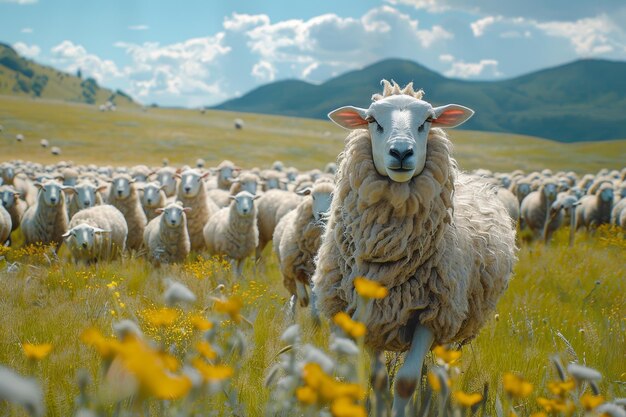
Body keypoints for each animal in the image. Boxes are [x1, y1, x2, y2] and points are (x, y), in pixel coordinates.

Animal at [272, 180, 334, 314]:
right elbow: (304, 297)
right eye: (313, 196)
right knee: (294, 295)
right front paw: (303, 301)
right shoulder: (294, 266)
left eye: (333, 196)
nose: (322, 215)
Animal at [310, 79, 516, 414]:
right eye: (372, 120)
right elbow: (379, 381)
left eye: (427, 120)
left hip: (452, 316)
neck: (387, 252)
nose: (401, 152)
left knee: (443, 373)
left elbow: (405, 382)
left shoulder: (430, 314)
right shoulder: (367, 314)